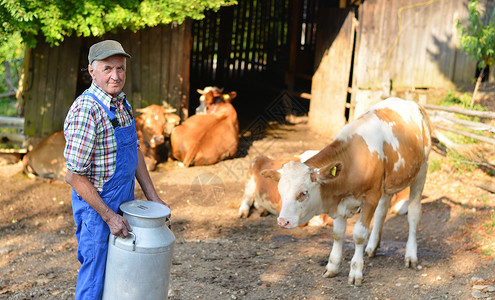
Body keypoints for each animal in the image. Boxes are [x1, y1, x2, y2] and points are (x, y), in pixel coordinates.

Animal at [262, 98, 432, 286]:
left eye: (303, 193)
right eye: (280, 191)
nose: (282, 221)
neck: (354, 159)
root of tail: (410, 102)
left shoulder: (371, 197)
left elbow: (359, 234)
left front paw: (356, 271)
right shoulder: (342, 201)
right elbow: (338, 234)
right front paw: (332, 266)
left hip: (422, 169)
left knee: (414, 213)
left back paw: (411, 255)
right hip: (387, 185)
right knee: (382, 211)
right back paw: (372, 246)